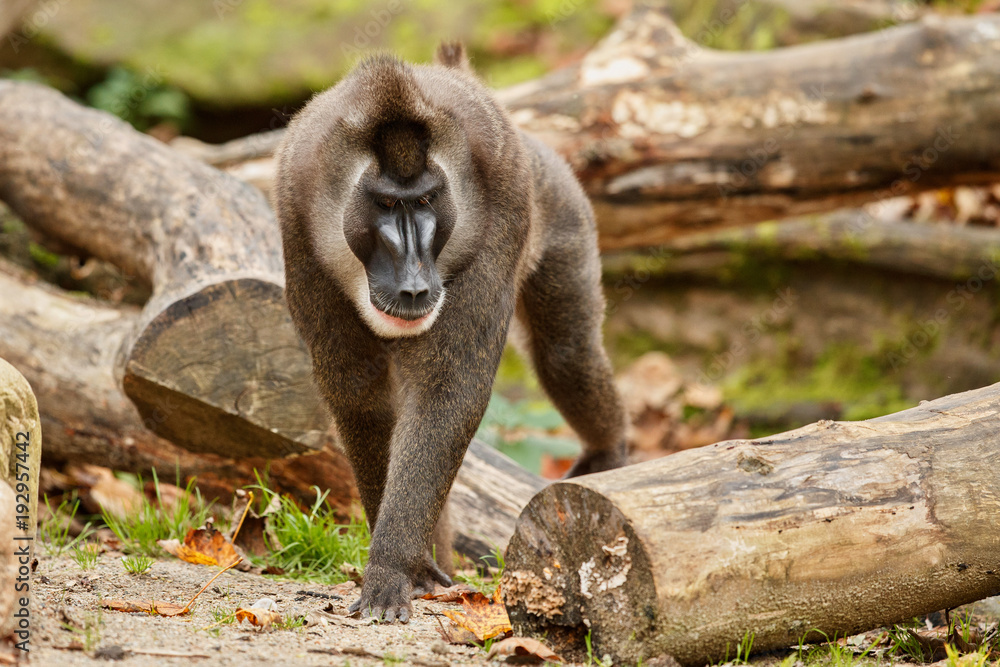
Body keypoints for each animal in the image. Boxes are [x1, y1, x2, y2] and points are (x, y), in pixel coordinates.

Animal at [274, 43, 628, 623]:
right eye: (386, 205)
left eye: (425, 202)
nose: (416, 284)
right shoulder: (297, 226)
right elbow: (362, 400)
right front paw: (413, 569)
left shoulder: (505, 203)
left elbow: (447, 391)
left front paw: (393, 568)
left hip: (561, 212)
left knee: (566, 353)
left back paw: (608, 453)